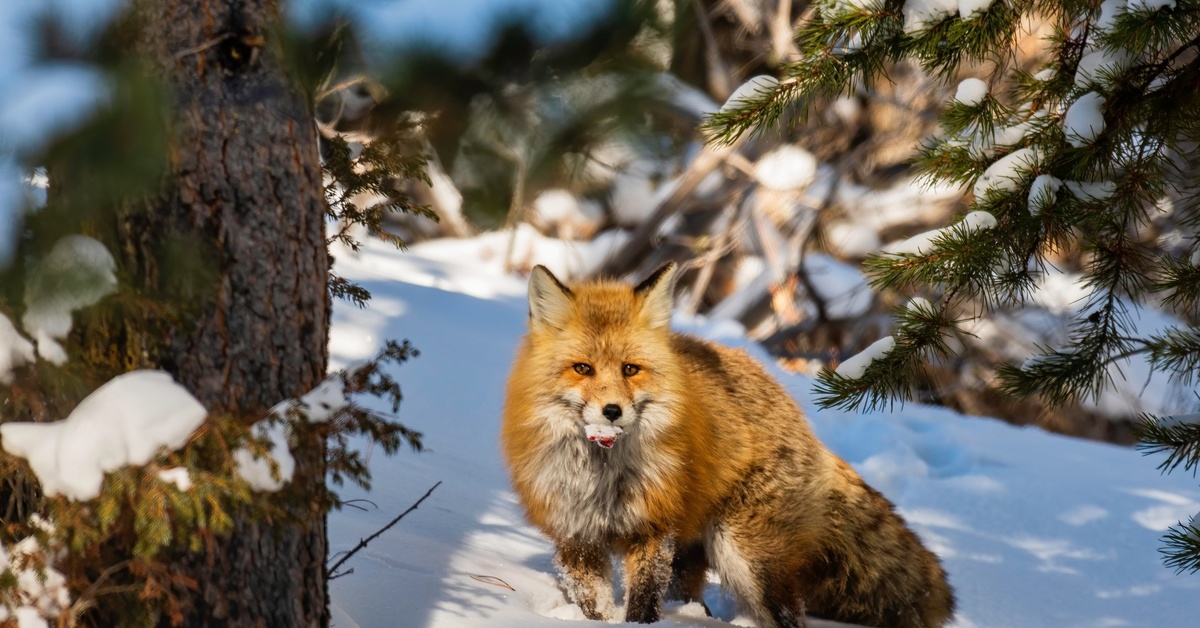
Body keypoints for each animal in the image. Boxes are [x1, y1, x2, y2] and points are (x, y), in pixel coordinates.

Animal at [499, 264, 955, 628]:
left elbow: (642, 605)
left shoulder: (652, 530)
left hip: (746, 554)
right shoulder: (576, 539)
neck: (601, 478)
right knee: (692, 595)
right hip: (694, 551)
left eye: (630, 369)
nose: (612, 411)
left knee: (789, 617)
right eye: (582, 368)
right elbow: (594, 604)